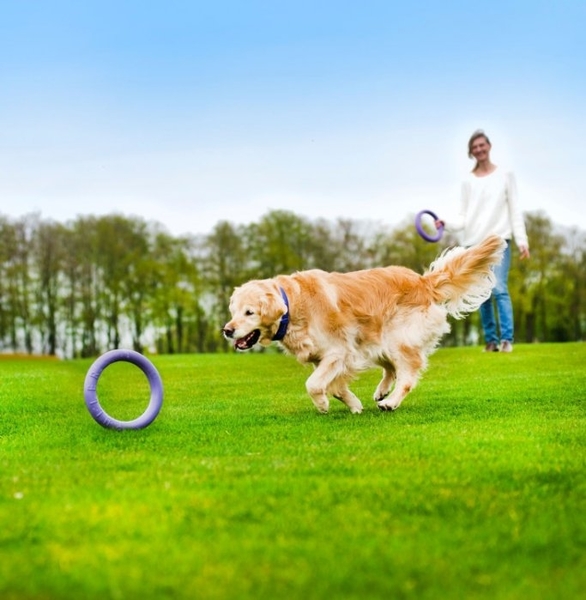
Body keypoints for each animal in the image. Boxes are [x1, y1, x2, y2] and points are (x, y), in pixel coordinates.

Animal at [221, 233, 504, 412]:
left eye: (249, 312)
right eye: (233, 311)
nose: (227, 330)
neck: (292, 305)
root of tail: (423, 281)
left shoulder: (338, 352)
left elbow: (314, 384)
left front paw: (323, 405)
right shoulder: (327, 357)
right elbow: (334, 386)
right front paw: (354, 405)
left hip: (397, 339)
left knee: (407, 375)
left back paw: (390, 402)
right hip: (372, 341)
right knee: (391, 368)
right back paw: (381, 392)